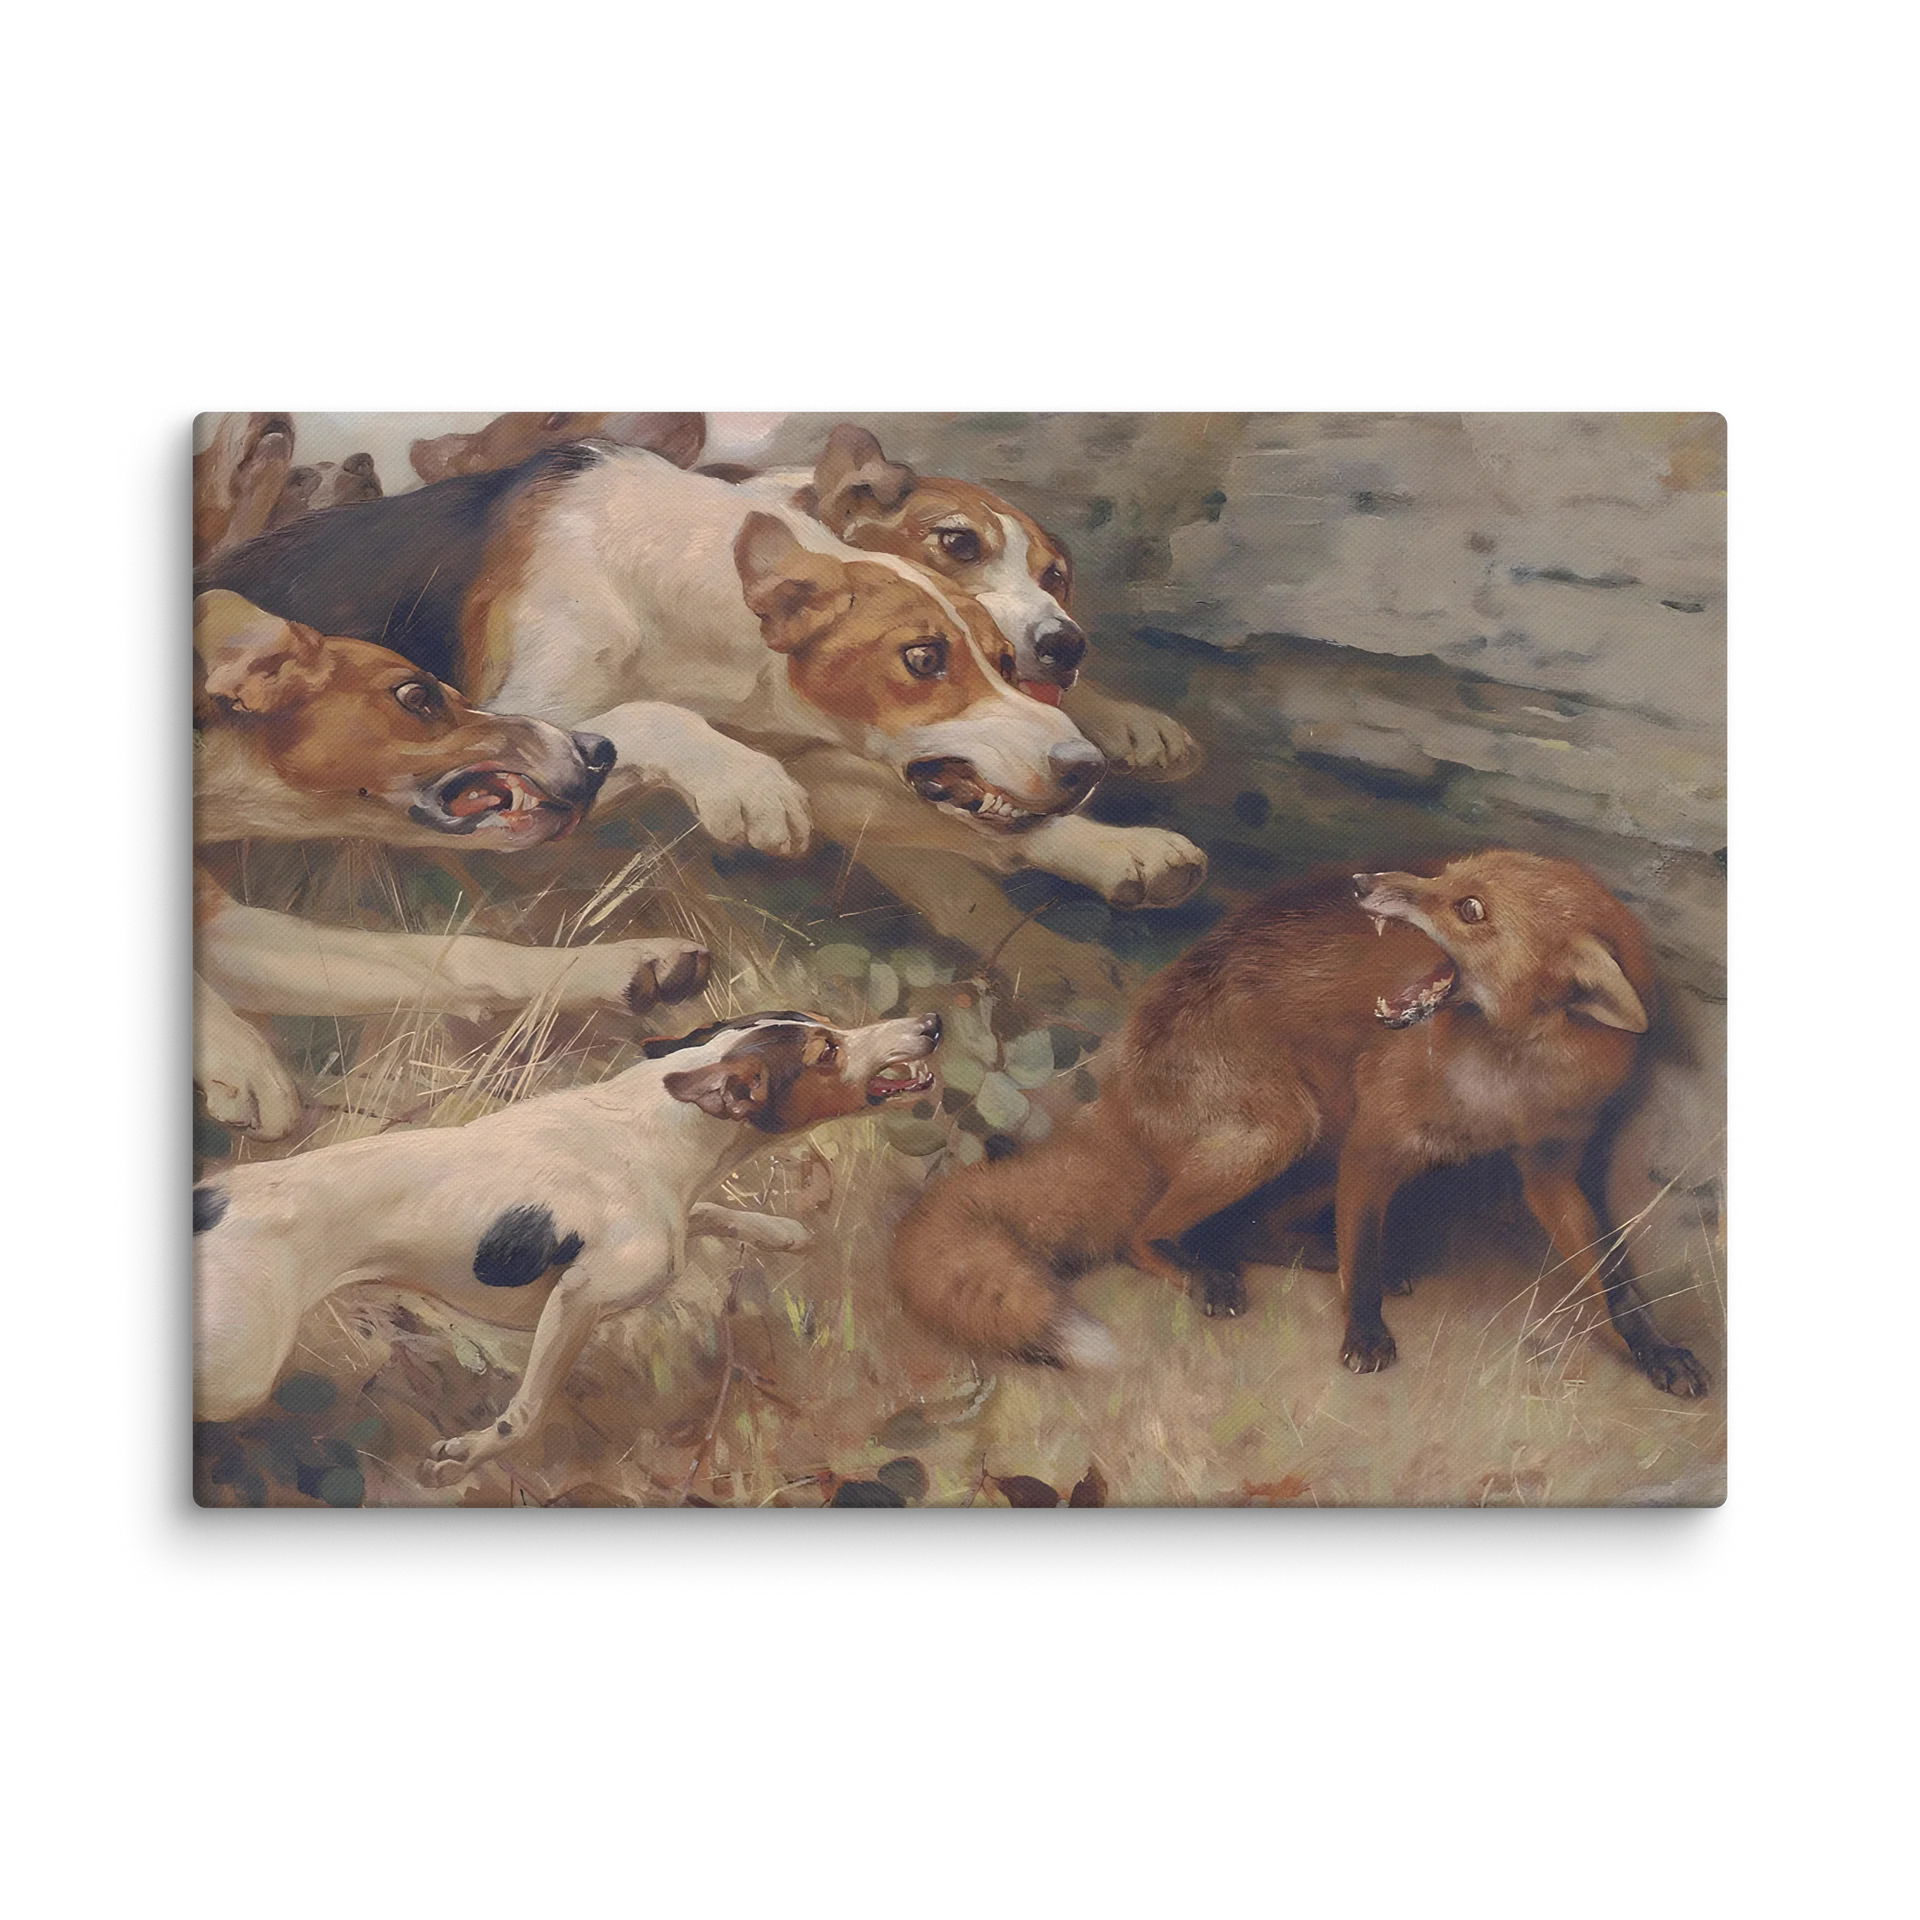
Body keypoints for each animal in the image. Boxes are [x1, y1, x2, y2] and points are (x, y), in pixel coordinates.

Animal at [891, 848, 1707, 1396]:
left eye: (1470, 909)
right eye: (1445, 876)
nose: (1363, 885)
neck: (1503, 1085)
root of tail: (1116, 1096)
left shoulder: (1551, 1168)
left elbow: (1612, 1283)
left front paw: (1654, 1351)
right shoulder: (1377, 1142)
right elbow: (1363, 1259)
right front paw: (1364, 1334)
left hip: (1316, 1141)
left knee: (1261, 1228)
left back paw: (1294, 1254)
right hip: (1282, 1130)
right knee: (1140, 1235)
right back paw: (1199, 1273)